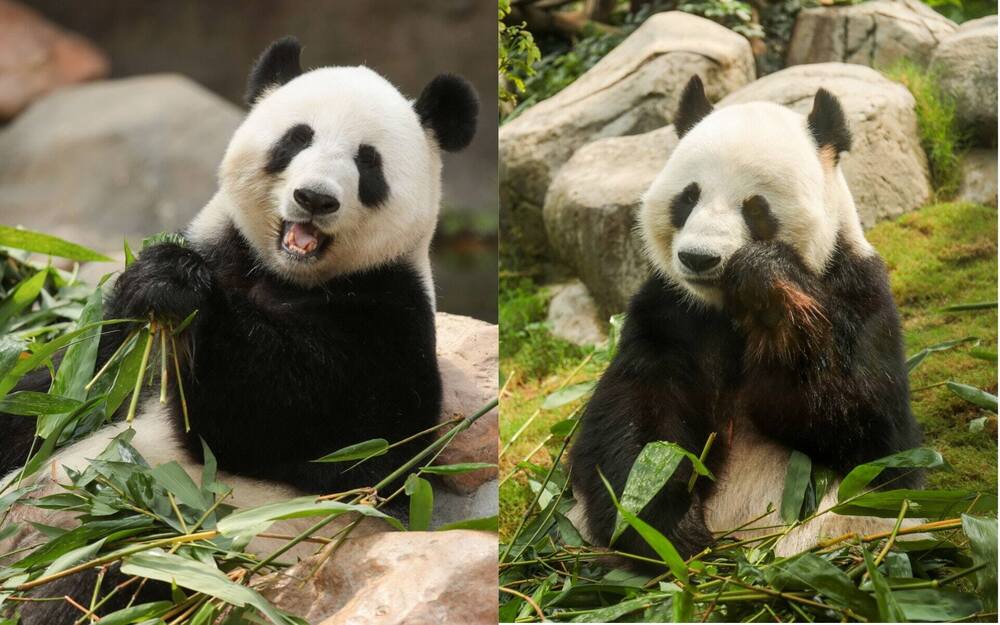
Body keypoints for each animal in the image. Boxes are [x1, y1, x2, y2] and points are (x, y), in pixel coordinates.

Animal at [0, 36, 478, 622]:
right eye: (297, 138)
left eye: (368, 162)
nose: (315, 199)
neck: (283, 276)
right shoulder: (202, 263)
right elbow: (64, 388)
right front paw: (161, 279)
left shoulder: (389, 321)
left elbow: (300, 422)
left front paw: (180, 289)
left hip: (180, 545)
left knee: (107, 572)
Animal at [568, 75, 923, 563]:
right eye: (688, 197)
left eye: (755, 207)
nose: (699, 258)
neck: (725, 311)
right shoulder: (670, 313)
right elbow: (636, 419)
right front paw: (666, 525)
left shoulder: (862, 297)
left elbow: (873, 440)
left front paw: (769, 291)